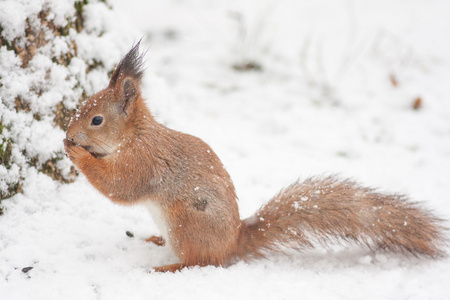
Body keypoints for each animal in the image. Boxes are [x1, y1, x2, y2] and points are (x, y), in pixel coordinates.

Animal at [63, 41, 446, 274]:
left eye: (96, 120)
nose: (69, 133)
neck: (136, 135)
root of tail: (234, 241)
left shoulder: (144, 161)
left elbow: (120, 186)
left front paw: (76, 153)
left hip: (187, 225)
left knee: (205, 262)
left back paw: (168, 267)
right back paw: (156, 241)